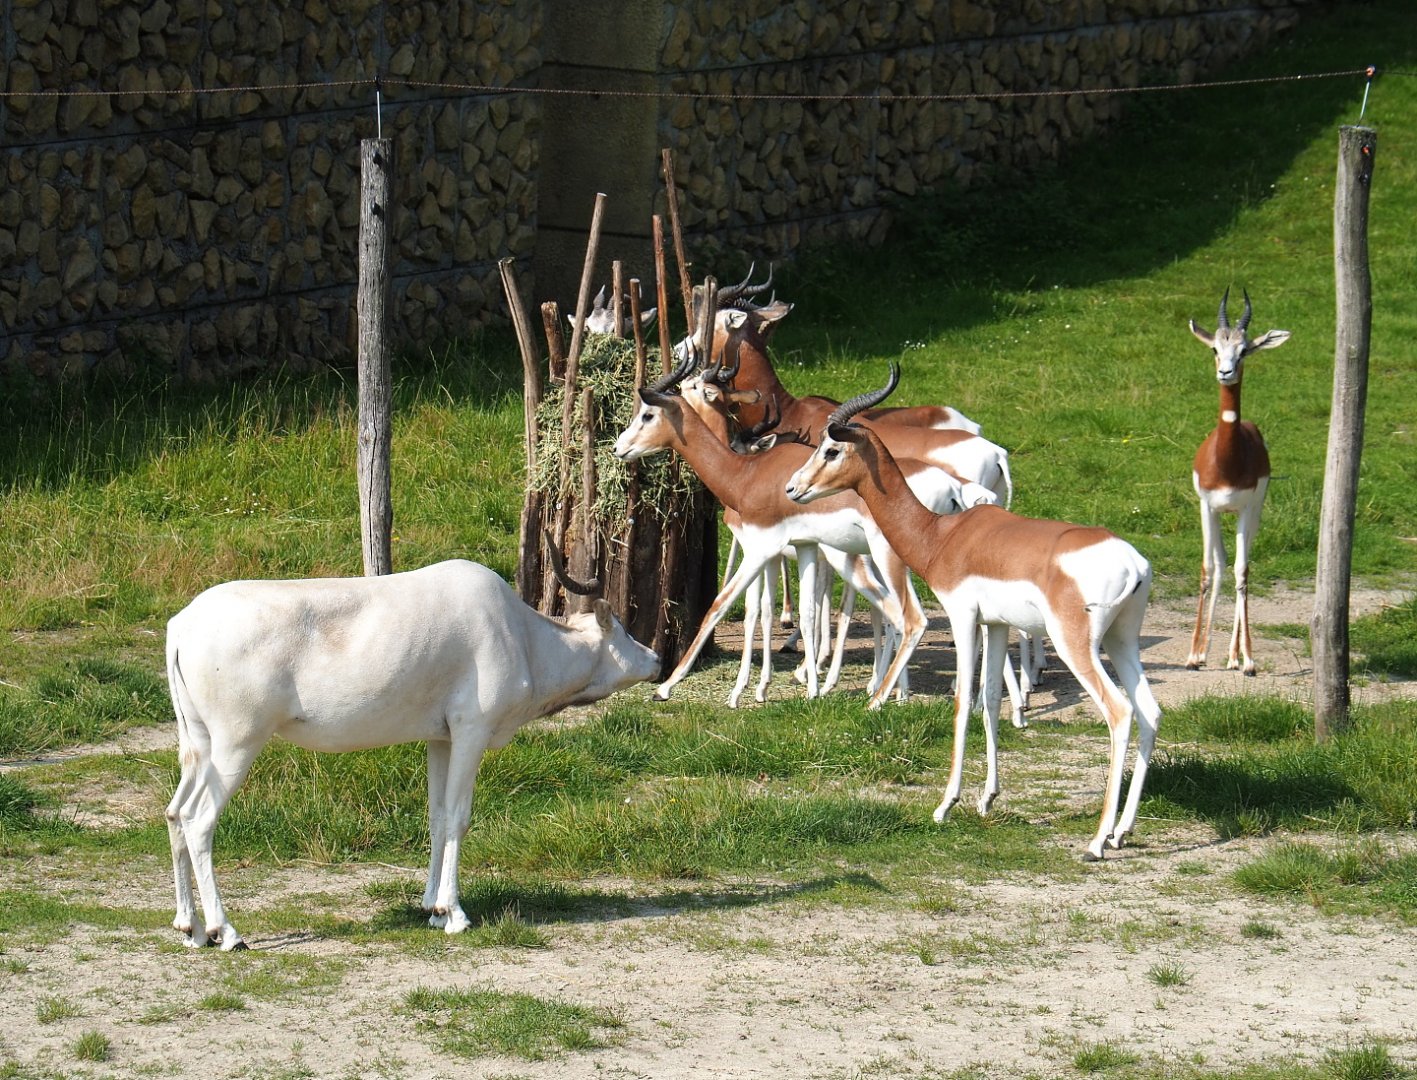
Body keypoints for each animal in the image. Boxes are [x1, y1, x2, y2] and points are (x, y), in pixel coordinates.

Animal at [163, 545, 658, 950]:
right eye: (623, 630)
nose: (655, 659)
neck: (520, 634)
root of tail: (180, 627)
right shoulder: (472, 730)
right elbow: (459, 817)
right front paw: (455, 914)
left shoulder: (441, 738)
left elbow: (437, 817)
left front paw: (431, 909)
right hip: (238, 743)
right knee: (198, 819)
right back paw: (226, 932)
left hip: (201, 744)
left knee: (174, 812)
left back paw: (190, 928)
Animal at [785, 366, 1162, 860]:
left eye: (831, 449)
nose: (793, 488)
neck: (942, 535)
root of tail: (1133, 563)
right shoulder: (996, 624)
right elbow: (991, 699)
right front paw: (987, 798)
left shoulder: (962, 617)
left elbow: (963, 699)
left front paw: (945, 805)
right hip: (1122, 640)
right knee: (1149, 711)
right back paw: (1122, 831)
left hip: (1076, 644)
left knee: (1120, 712)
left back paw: (1097, 841)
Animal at [1186, 289, 1290, 676]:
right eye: (1215, 348)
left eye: (1243, 350)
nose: (1225, 372)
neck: (1228, 458)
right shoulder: (1206, 506)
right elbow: (1208, 570)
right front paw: (1194, 655)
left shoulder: (1246, 508)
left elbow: (1242, 572)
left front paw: (1248, 659)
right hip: (1218, 515)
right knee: (1220, 566)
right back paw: (1207, 651)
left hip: (1254, 513)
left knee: (1237, 567)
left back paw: (1232, 656)